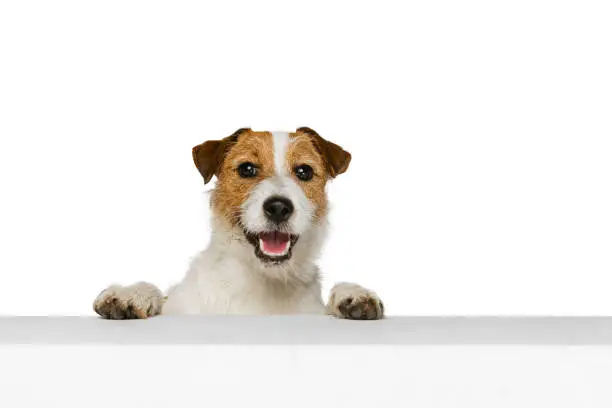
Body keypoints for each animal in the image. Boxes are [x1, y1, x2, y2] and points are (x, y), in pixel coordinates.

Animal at [93, 126, 382, 318]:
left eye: (304, 171)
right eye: (247, 169)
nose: (279, 207)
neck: (263, 281)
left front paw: (353, 294)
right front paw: (131, 294)